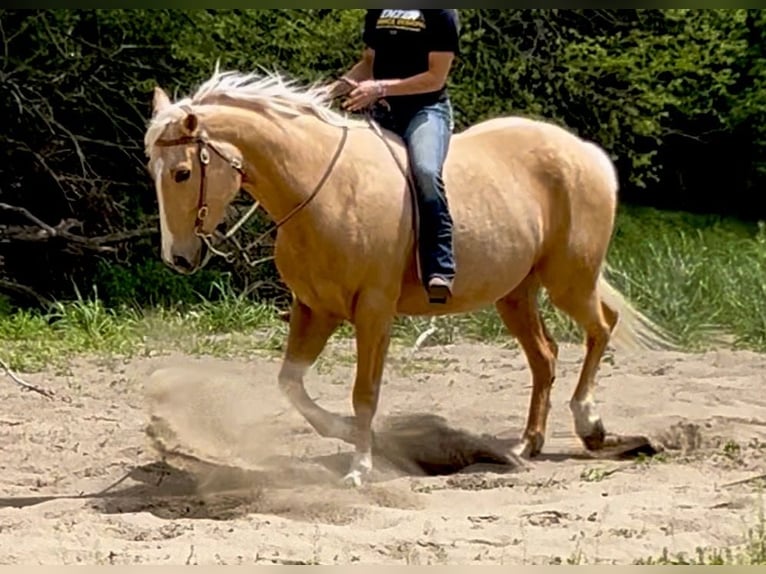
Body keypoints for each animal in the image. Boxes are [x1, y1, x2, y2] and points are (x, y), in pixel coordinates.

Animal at [144, 67, 673, 486]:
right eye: (154, 168)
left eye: (182, 173)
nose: (179, 257)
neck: (324, 190)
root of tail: (586, 153)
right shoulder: (314, 308)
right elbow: (290, 383)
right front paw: (352, 438)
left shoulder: (373, 311)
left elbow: (364, 392)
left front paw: (360, 466)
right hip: (515, 295)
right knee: (545, 356)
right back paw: (526, 446)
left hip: (569, 281)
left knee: (600, 327)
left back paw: (591, 426)